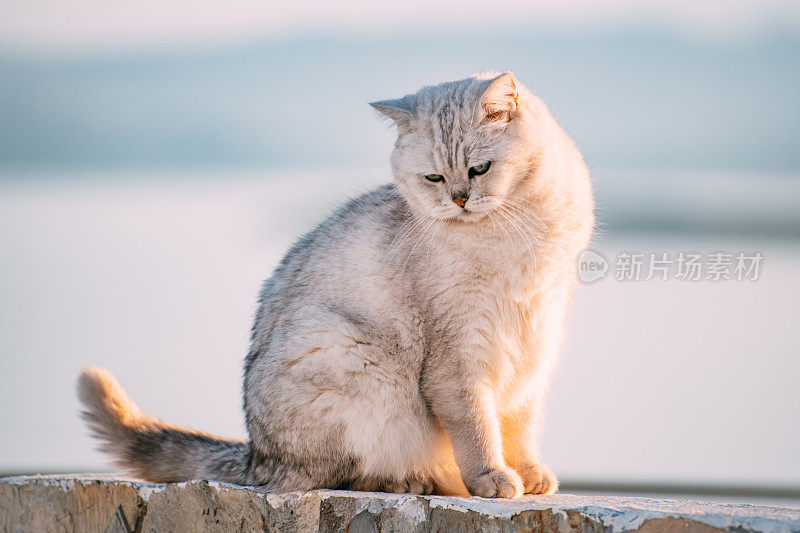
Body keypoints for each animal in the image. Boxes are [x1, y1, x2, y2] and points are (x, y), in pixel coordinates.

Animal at [78, 72, 592, 496]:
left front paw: (529, 474)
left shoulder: (535, 341)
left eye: (480, 168)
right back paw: (410, 480)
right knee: (333, 475)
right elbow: (477, 427)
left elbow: (519, 426)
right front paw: (492, 478)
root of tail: (255, 457)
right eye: (433, 177)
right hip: (348, 357)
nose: (460, 199)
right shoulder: (461, 353)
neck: (511, 234)